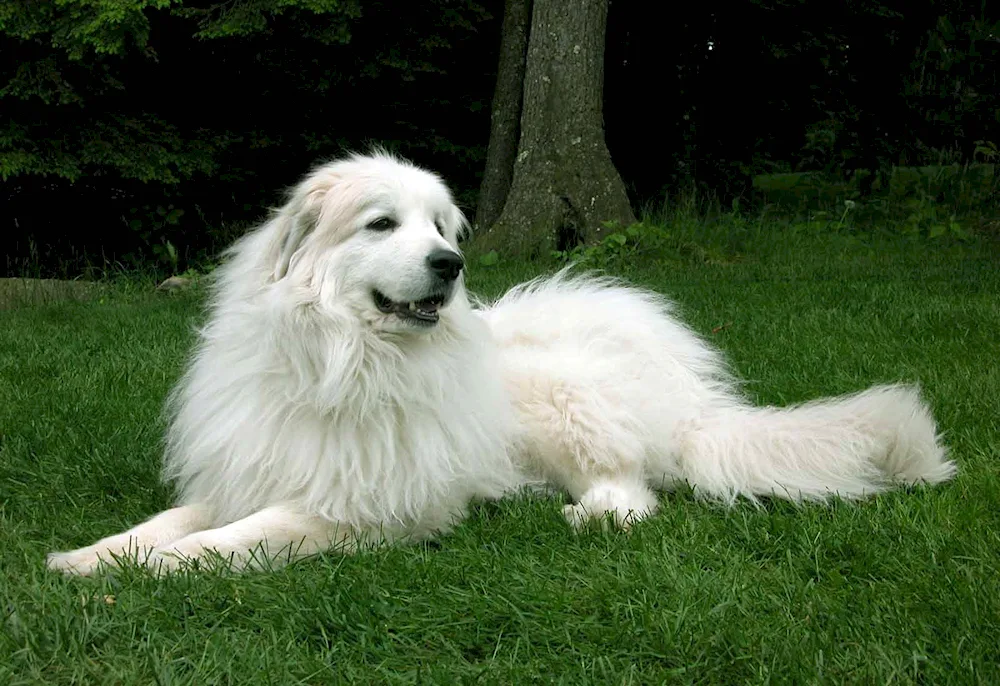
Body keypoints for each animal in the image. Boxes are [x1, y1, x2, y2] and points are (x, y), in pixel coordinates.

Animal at [47, 153, 952, 576]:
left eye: (441, 226)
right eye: (382, 224)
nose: (450, 264)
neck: (341, 358)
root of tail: (693, 395)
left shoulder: (355, 509)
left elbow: (232, 539)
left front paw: (157, 570)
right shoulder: (255, 470)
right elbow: (171, 522)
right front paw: (90, 559)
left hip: (558, 401)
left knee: (634, 493)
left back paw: (585, 515)